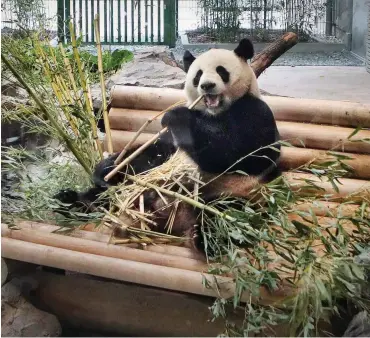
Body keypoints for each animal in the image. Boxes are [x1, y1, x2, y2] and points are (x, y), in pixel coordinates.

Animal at [54, 37, 280, 254]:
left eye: (221, 71)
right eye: (198, 75)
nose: (206, 86)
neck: (213, 113)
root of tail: (169, 217)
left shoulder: (254, 112)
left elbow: (239, 153)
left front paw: (177, 115)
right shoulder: (168, 142)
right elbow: (155, 153)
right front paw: (108, 167)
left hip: (233, 193)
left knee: (223, 213)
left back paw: (207, 238)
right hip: (127, 191)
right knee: (101, 196)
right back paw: (68, 202)